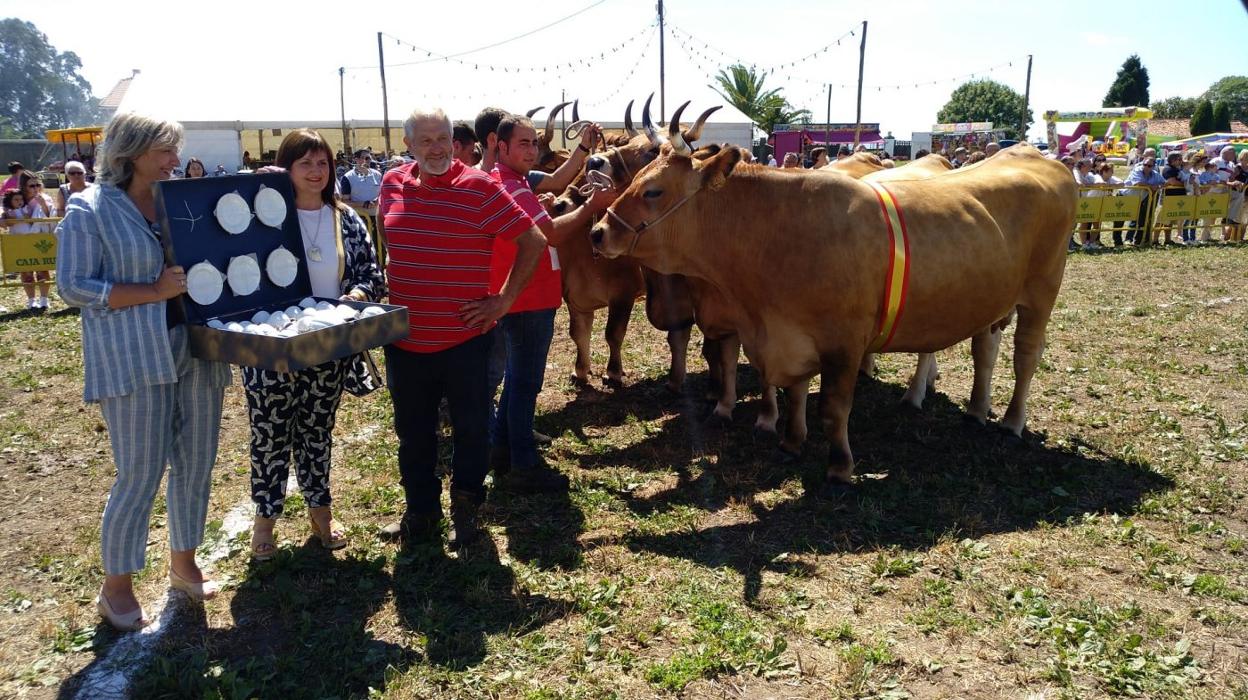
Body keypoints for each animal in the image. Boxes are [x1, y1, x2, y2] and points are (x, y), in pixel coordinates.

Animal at [589, 126, 1078, 486]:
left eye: (653, 191)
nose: (597, 231)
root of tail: (1036, 157)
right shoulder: (784, 333)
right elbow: (793, 392)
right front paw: (790, 440)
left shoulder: (844, 343)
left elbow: (834, 407)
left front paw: (840, 465)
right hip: (991, 301)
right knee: (983, 351)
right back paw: (973, 409)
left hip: (1042, 292)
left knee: (1025, 357)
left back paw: (1011, 421)